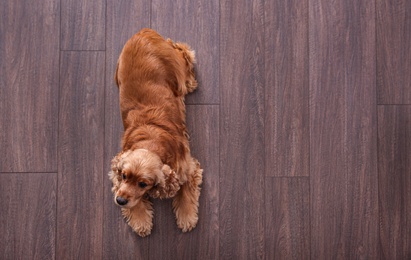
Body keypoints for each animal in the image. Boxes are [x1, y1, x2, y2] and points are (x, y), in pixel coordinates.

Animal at [108, 28, 204, 238]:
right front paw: (140, 220)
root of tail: (143, 32)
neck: (150, 142)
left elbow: (186, 192)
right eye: (124, 176)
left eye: (143, 184)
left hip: (177, 69)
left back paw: (190, 79)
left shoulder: (188, 168)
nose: (120, 201)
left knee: (183, 51)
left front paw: (187, 218)